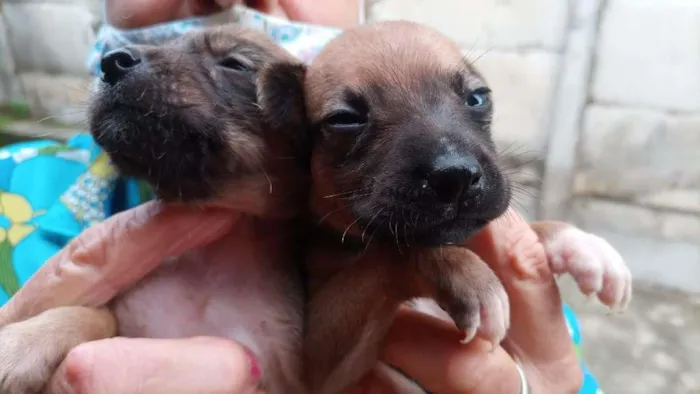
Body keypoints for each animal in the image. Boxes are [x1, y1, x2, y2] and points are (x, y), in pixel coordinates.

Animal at [262, 21, 636, 394]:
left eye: (477, 98)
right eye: (344, 119)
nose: (456, 176)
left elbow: (533, 231)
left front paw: (581, 245)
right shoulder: (320, 369)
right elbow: (394, 252)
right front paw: (464, 272)